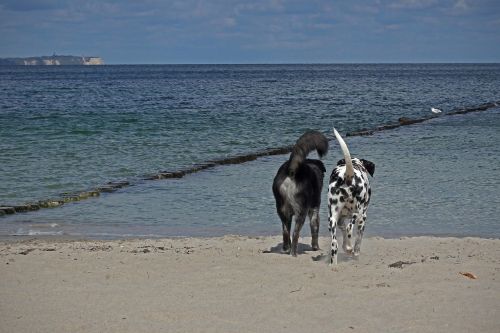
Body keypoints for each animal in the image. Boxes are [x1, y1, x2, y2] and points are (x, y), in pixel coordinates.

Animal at [328, 127, 376, 264]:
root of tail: (347, 176)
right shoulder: (363, 219)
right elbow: (358, 240)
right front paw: (355, 252)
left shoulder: (340, 220)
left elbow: (344, 234)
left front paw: (347, 247)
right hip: (357, 213)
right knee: (350, 228)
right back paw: (351, 249)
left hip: (332, 218)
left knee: (334, 244)